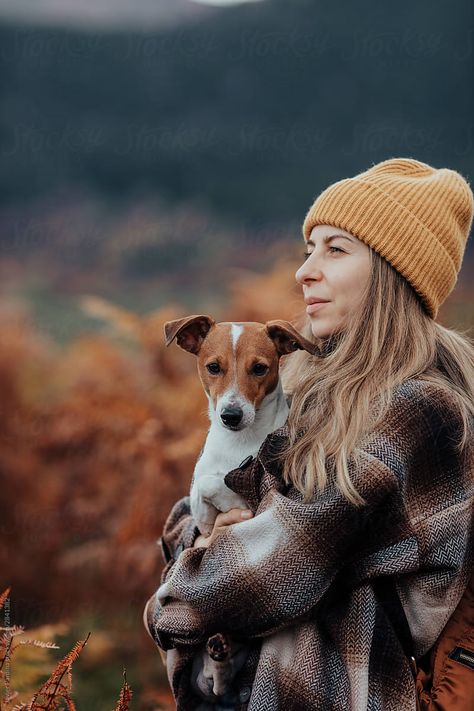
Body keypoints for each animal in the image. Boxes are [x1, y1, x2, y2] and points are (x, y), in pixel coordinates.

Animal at [161, 314, 316, 704]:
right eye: (213, 367)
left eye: (259, 368)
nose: (230, 415)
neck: (238, 443)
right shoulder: (204, 471)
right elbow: (201, 484)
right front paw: (204, 516)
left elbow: (216, 487)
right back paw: (218, 649)